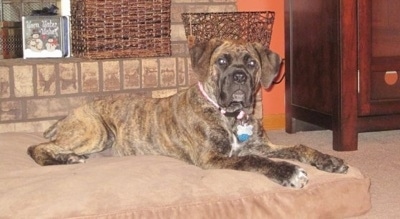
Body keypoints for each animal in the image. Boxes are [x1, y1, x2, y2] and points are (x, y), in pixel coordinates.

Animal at [28, 38, 348, 187]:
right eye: (222, 61)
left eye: (252, 63)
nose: (239, 77)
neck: (229, 117)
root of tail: (68, 115)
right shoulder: (214, 159)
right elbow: (255, 162)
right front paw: (288, 171)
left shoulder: (262, 145)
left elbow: (301, 146)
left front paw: (329, 160)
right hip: (96, 131)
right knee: (38, 147)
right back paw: (66, 159)